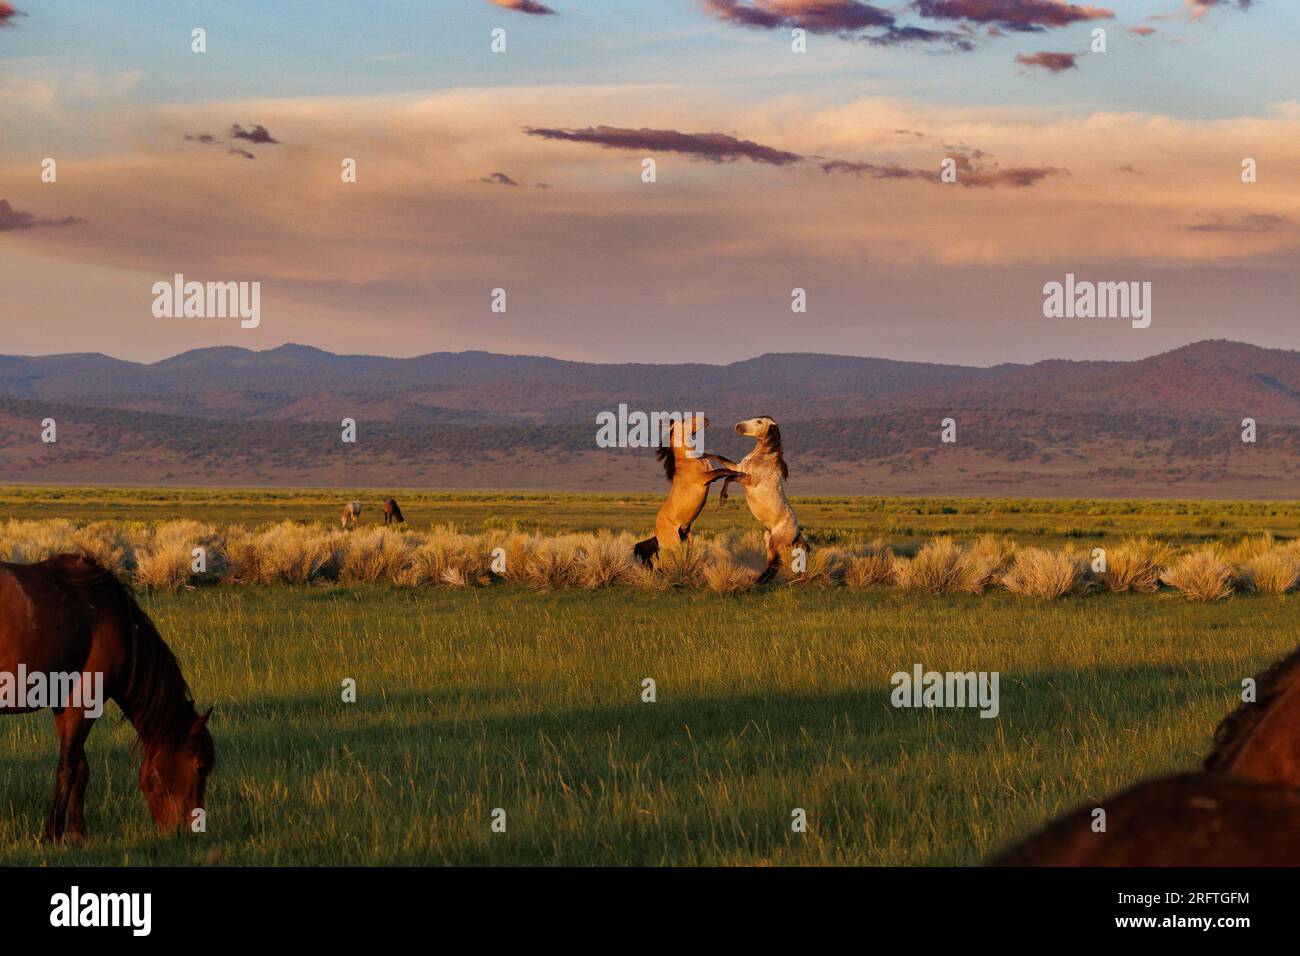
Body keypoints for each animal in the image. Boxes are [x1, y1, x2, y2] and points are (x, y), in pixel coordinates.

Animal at [0, 554, 213, 837]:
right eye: (200, 767)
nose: (191, 828)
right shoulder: (85, 700)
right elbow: (67, 768)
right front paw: (53, 831)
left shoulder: (63, 703)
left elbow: (80, 768)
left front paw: (77, 832)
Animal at [631, 416, 743, 564]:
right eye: (684, 420)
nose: (705, 418)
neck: (688, 459)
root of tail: (657, 534)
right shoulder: (705, 478)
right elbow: (723, 471)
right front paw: (741, 474)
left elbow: (722, 465)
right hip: (674, 544)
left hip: (688, 539)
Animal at [722, 416, 800, 582]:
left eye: (759, 422)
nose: (738, 426)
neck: (763, 459)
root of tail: (796, 532)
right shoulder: (739, 468)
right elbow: (721, 460)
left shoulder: (748, 479)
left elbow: (728, 477)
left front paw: (723, 497)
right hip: (769, 542)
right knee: (774, 565)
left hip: (774, 545)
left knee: (772, 566)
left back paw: (757, 582)